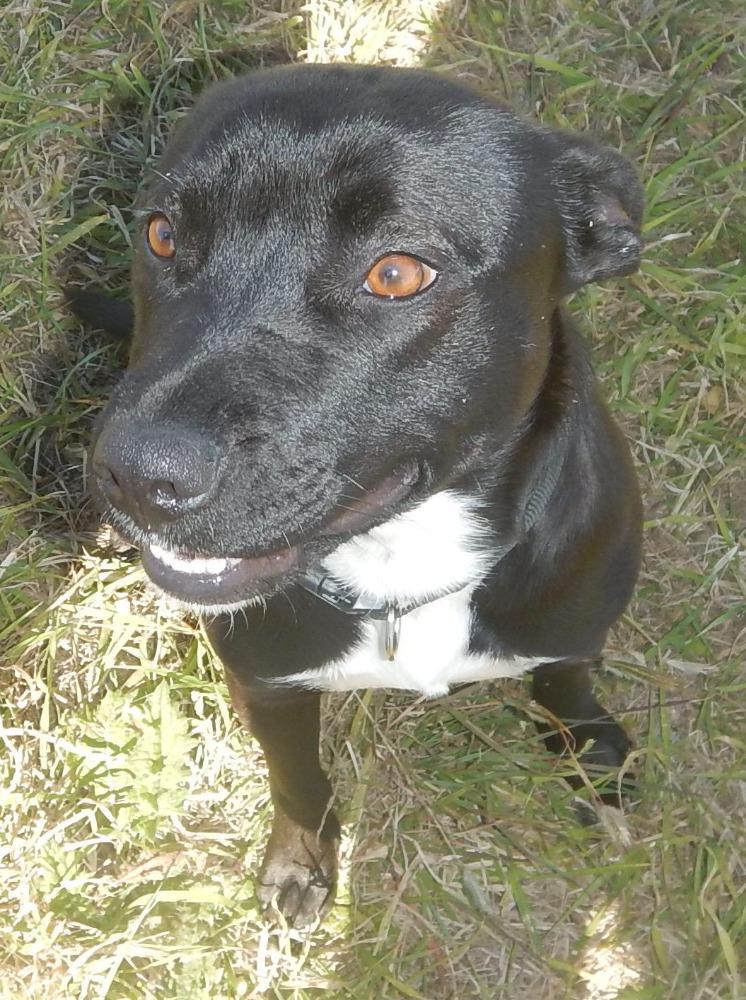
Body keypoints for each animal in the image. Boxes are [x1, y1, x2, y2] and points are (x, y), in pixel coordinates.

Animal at [73, 63, 644, 927]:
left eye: (397, 273)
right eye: (162, 234)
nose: (137, 474)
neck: (403, 566)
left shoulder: (574, 624)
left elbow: (565, 676)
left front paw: (588, 742)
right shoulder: (268, 687)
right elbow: (299, 783)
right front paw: (300, 864)